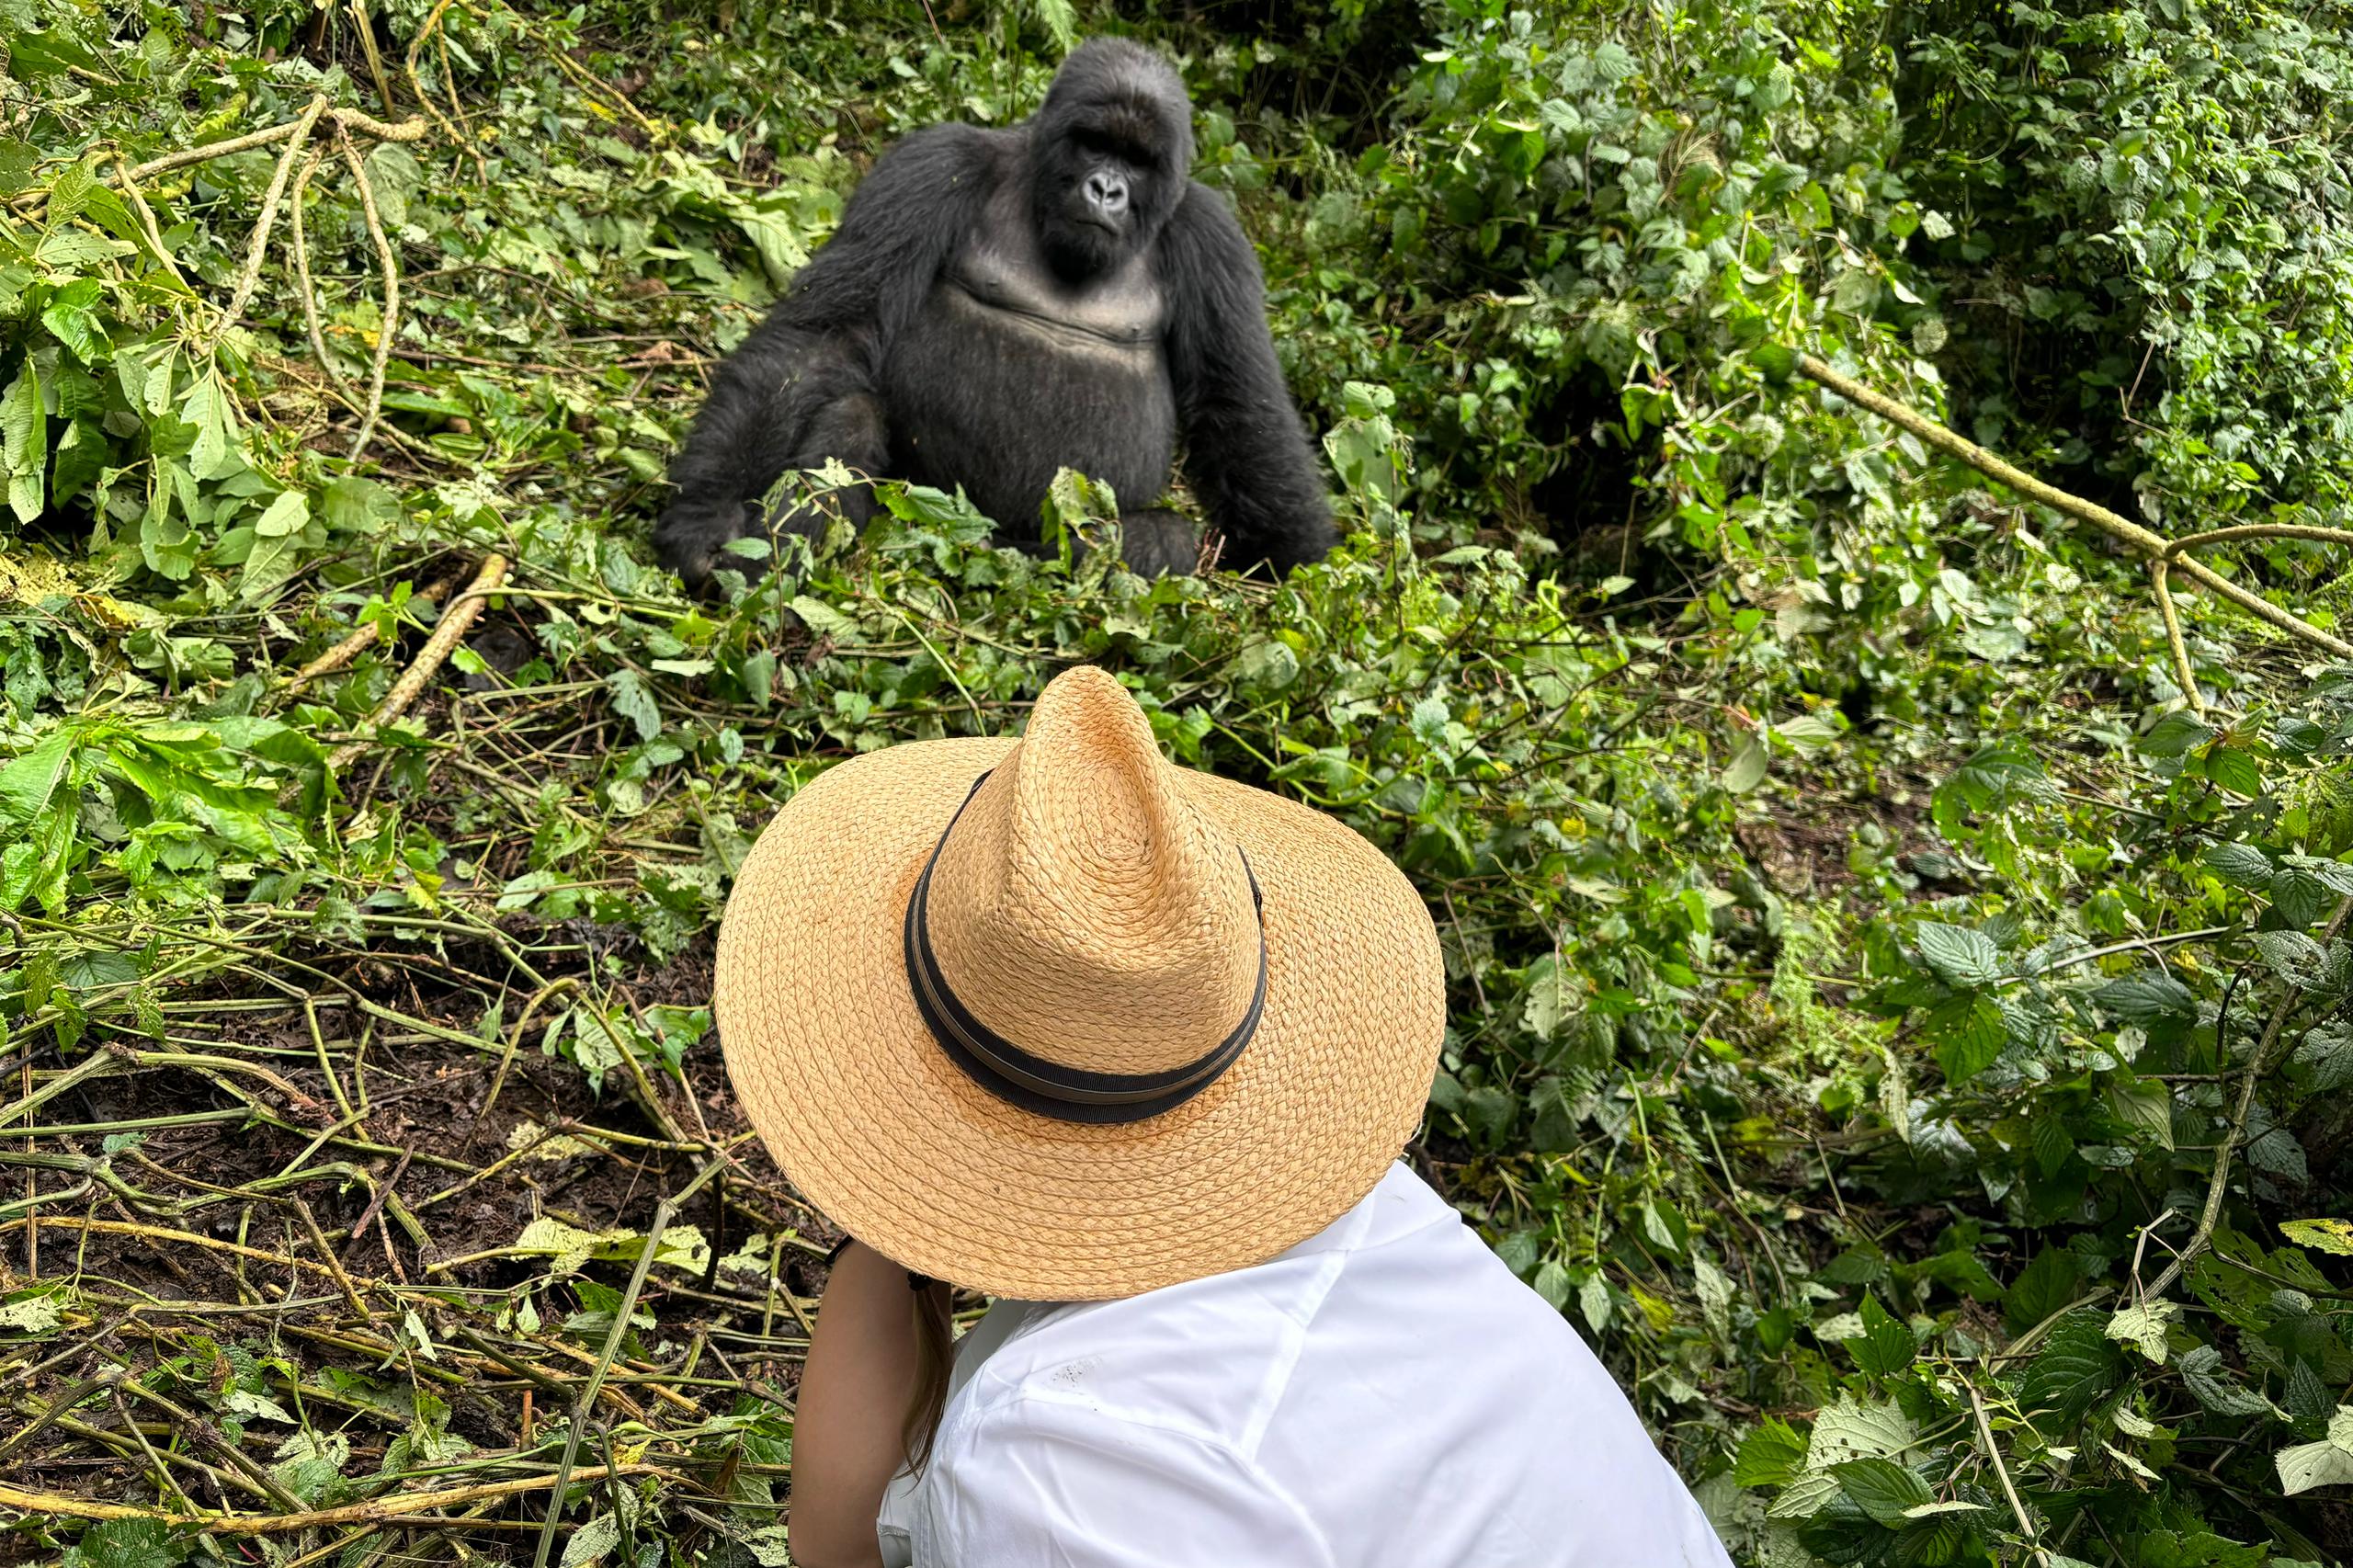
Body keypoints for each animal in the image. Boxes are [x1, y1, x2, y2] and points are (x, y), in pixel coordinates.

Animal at [654, 36, 1336, 588]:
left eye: (1138, 161)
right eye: (1095, 144)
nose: (1106, 190)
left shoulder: (1212, 240)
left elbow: (1238, 409)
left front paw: (1295, 563)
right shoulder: (935, 166)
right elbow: (828, 334)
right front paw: (705, 514)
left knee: (1159, 540)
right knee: (851, 420)